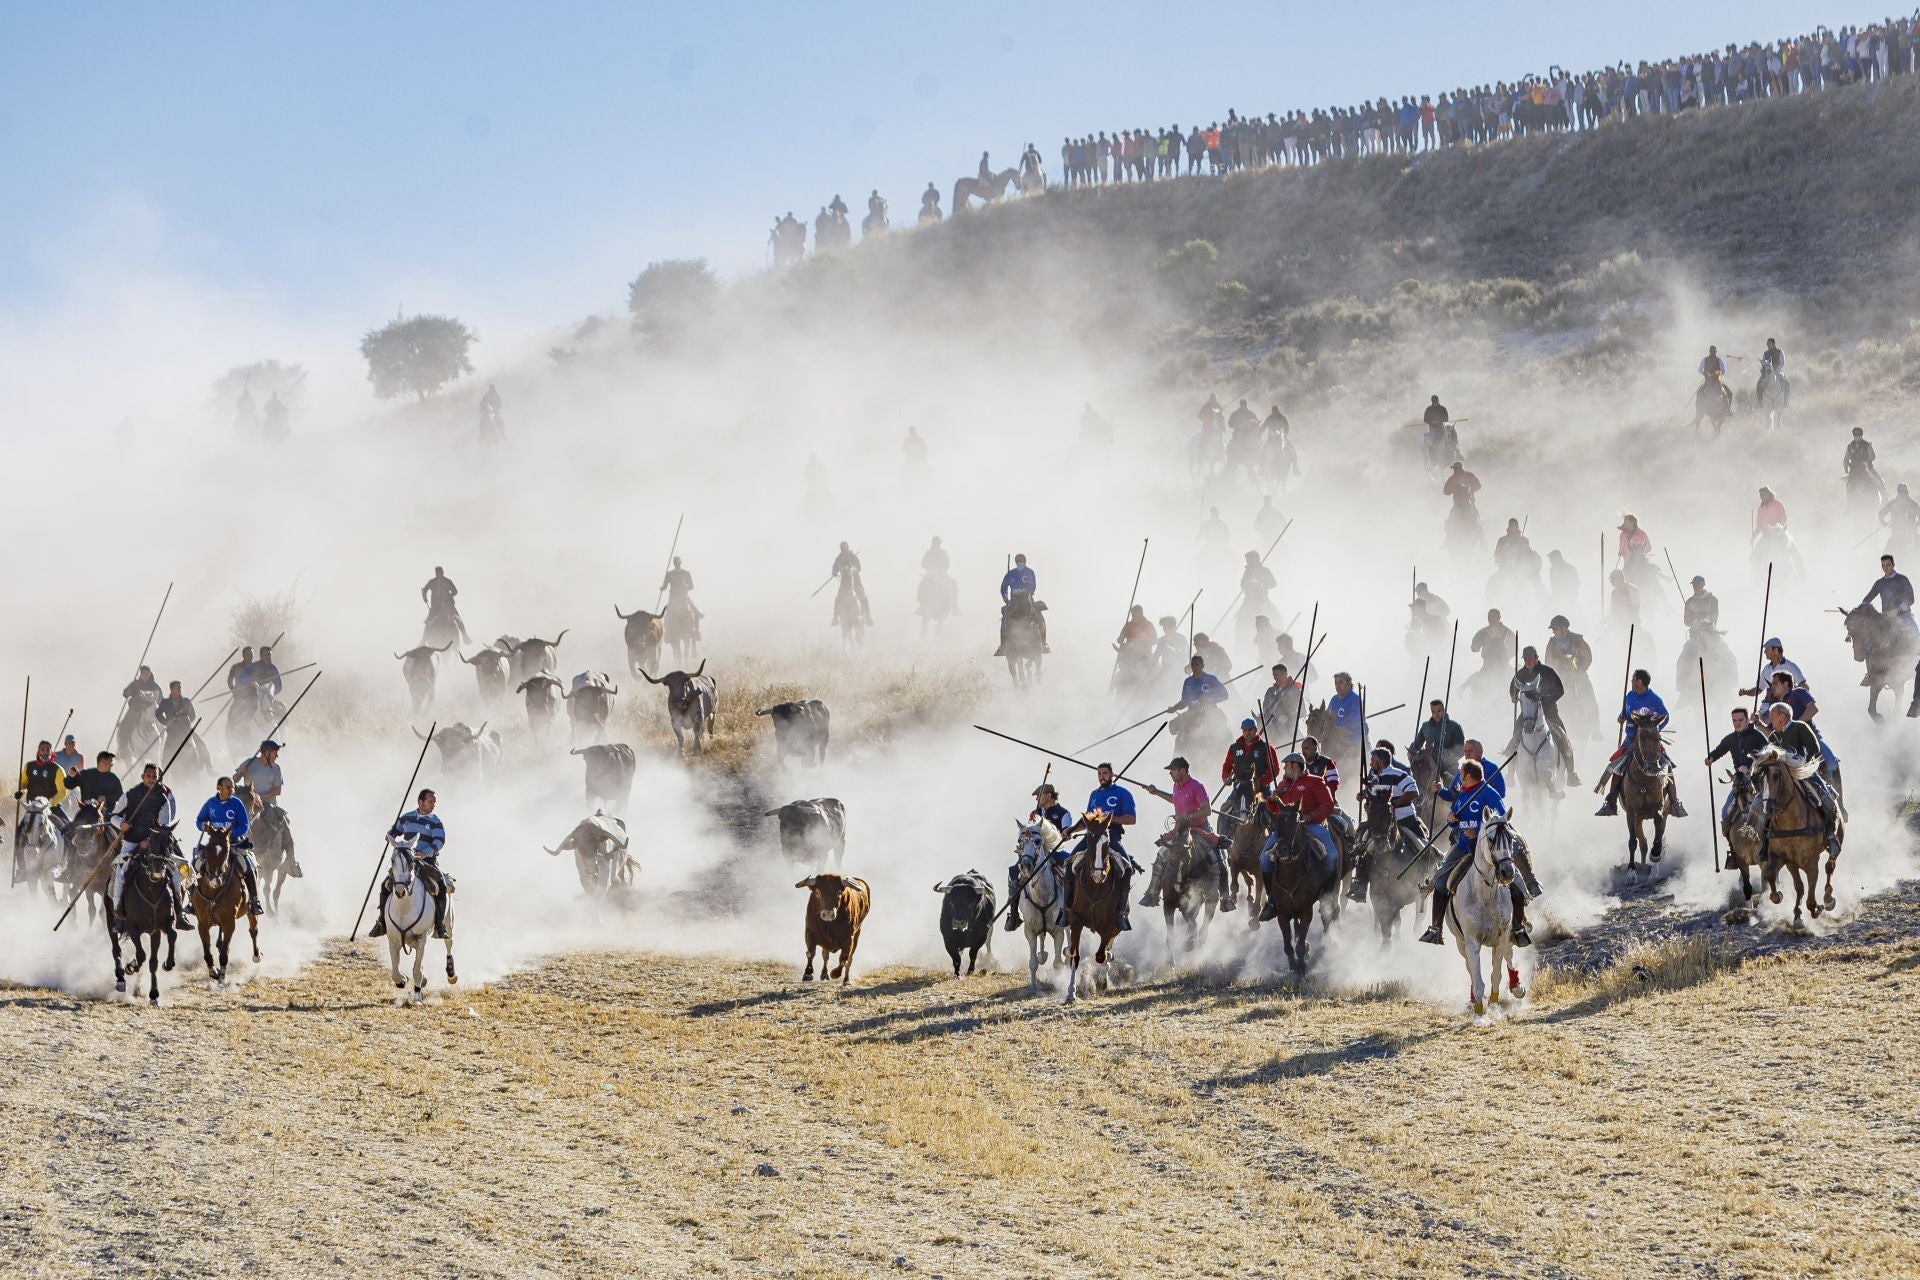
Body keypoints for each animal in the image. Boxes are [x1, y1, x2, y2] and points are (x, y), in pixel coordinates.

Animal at [191, 825, 261, 990]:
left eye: (227, 850)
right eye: (207, 849)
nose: (214, 879)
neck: (213, 891)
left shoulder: (230, 923)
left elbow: (224, 954)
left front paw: (221, 978)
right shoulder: (202, 923)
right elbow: (207, 952)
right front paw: (213, 972)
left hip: (250, 912)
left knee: (253, 930)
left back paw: (256, 955)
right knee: (221, 943)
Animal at [1013, 825, 1075, 997]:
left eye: (1037, 841)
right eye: (1019, 841)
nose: (1025, 865)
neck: (1042, 895)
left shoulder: (1058, 930)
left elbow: (1057, 963)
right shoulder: (1029, 930)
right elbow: (1033, 962)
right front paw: (1033, 988)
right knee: (1042, 938)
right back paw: (1043, 955)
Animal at [1067, 817, 1121, 1005]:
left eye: (1107, 842)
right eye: (1089, 839)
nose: (1098, 875)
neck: (1095, 888)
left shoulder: (1110, 925)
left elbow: (1100, 955)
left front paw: (1102, 982)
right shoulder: (1076, 920)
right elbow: (1074, 956)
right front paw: (1071, 992)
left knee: (1105, 951)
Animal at [1443, 809, 1520, 1028]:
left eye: (1511, 838)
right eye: (1492, 839)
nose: (1507, 872)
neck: (1486, 895)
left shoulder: (1502, 938)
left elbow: (1496, 975)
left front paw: (1494, 1008)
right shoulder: (1471, 942)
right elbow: (1477, 979)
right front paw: (1479, 1014)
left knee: (1509, 956)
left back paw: (1517, 986)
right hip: (1461, 943)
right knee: (1469, 967)